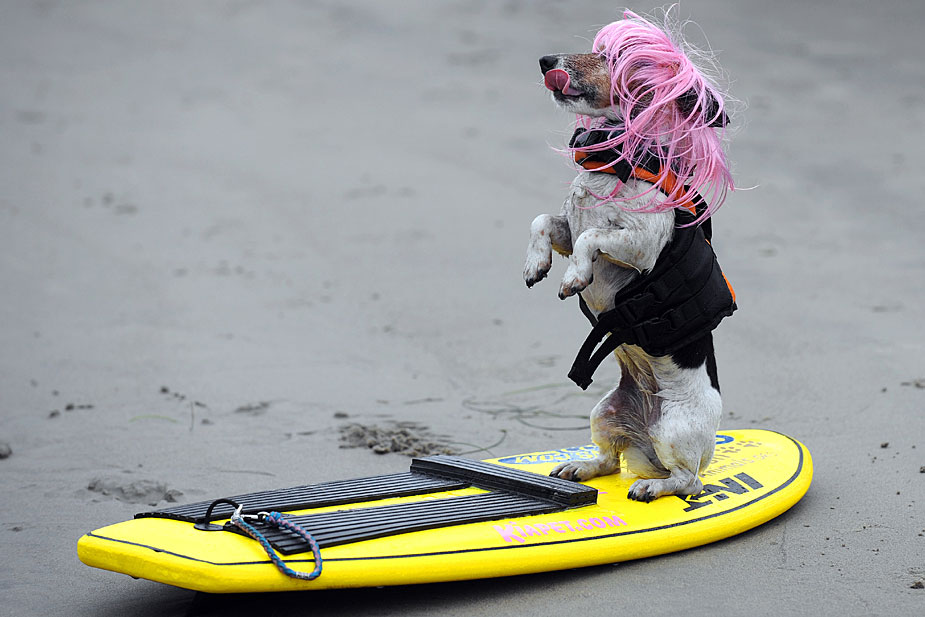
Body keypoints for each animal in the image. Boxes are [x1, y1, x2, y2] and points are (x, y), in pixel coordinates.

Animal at [523, 11, 736, 502]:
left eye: (613, 56)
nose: (545, 60)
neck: (616, 157)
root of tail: (645, 444)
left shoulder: (639, 246)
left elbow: (591, 239)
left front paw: (573, 278)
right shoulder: (567, 227)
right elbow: (543, 221)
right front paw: (536, 263)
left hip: (674, 429)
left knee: (689, 481)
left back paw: (652, 488)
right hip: (604, 412)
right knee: (609, 460)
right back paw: (580, 466)